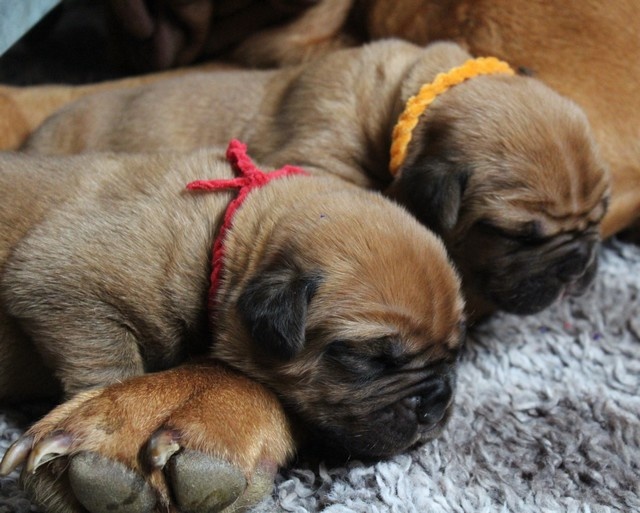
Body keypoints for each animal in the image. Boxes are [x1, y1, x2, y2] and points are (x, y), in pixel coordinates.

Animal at [0, 143, 462, 512]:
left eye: (455, 353)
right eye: (371, 359)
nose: (436, 400)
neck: (223, 233)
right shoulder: (60, 285)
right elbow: (104, 362)